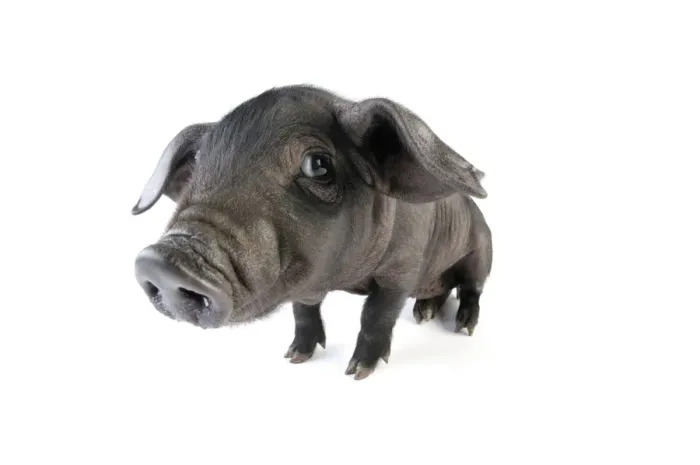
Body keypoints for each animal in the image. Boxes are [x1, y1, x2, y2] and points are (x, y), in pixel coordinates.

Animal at [131, 85, 493, 380]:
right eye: (197, 166)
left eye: (318, 165)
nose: (162, 261)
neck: (345, 278)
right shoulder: (305, 282)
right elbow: (303, 311)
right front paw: (294, 357)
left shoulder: (402, 268)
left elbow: (375, 315)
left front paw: (356, 373)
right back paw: (424, 314)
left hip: (482, 251)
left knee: (472, 289)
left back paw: (462, 328)